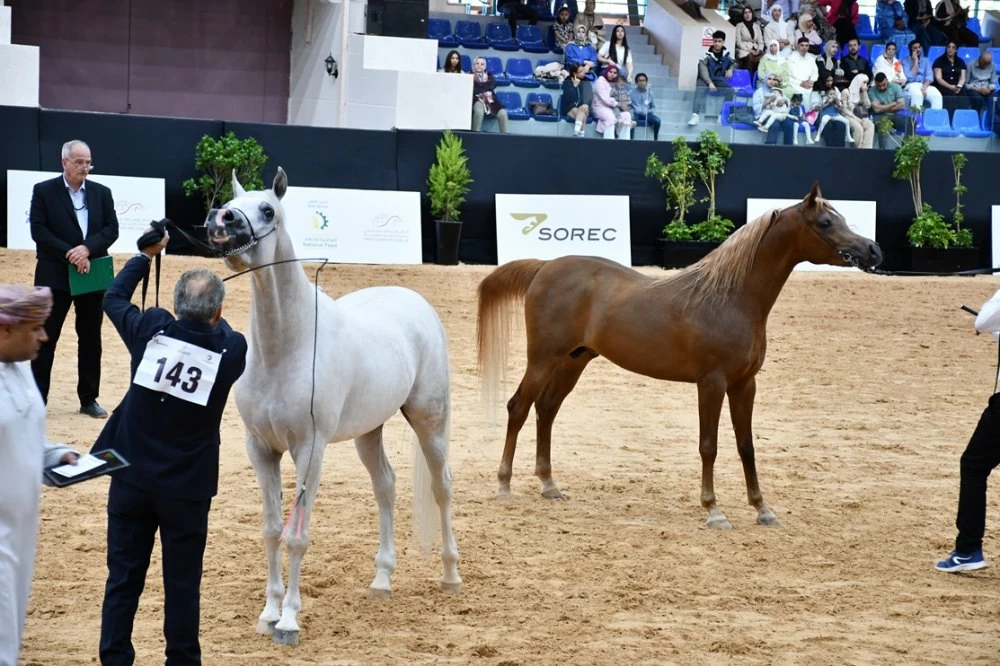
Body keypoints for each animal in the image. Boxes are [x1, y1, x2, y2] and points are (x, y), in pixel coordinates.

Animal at [205, 167, 462, 646]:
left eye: (267, 209)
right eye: (233, 203)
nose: (220, 221)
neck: (285, 347)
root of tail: (414, 301)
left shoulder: (310, 450)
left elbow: (297, 537)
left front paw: (289, 621)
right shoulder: (260, 449)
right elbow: (271, 531)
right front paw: (268, 613)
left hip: (430, 423)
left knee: (443, 487)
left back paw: (451, 575)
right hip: (369, 432)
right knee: (386, 487)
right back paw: (382, 580)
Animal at [475, 182, 882, 529]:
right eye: (826, 222)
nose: (873, 250)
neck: (730, 298)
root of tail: (545, 266)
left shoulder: (745, 384)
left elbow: (746, 445)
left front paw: (762, 508)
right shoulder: (712, 383)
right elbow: (709, 446)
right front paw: (714, 510)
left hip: (573, 361)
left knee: (546, 410)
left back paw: (549, 485)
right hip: (543, 359)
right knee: (518, 407)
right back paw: (503, 485)